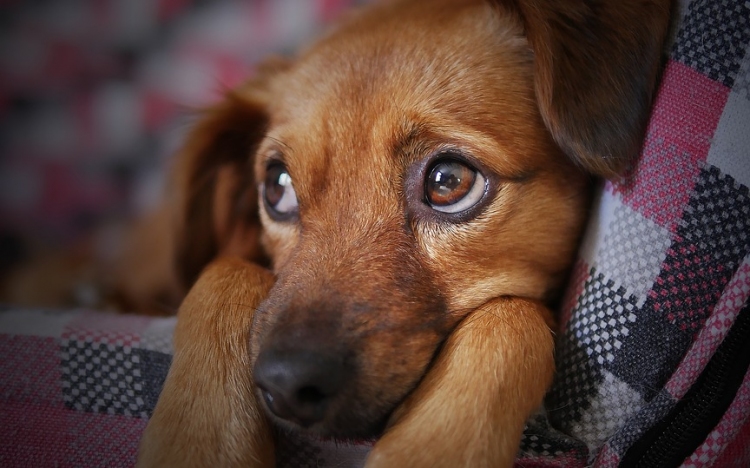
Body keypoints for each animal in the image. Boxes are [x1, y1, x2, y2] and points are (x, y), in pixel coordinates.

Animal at [137, 0, 676, 464]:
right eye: (277, 187)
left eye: (448, 181)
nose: (286, 386)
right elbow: (224, 270)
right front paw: (198, 442)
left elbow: (511, 315)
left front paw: (432, 447)